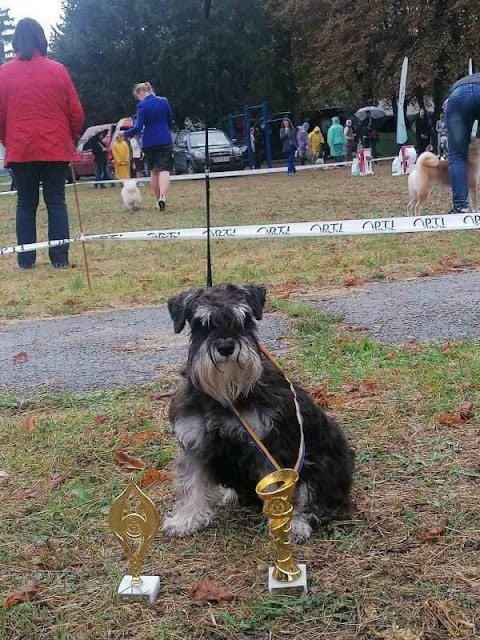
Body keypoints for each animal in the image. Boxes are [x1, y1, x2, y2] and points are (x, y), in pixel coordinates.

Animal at [163, 284, 354, 540]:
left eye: (244, 320)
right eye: (202, 324)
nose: (226, 347)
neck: (227, 396)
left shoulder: (274, 446)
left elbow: (287, 491)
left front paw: (289, 525)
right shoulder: (196, 442)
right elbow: (192, 482)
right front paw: (186, 519)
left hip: (322, 463)